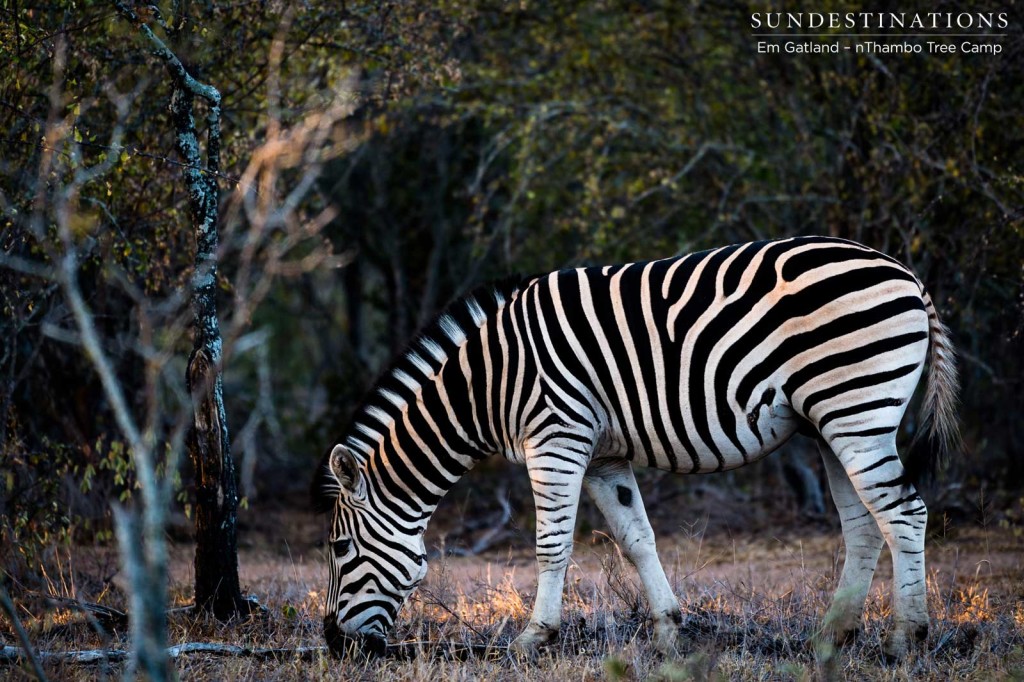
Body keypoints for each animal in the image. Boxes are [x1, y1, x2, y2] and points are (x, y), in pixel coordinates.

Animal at [309, 235, 958, 659]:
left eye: (339, 549)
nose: (335, 644)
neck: (488, 384)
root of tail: (904, 271)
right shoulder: (603, 457)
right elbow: (637, 539)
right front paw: (670, 633)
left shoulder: (557, 437)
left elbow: (550, 546)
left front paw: (532, 638)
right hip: (829, 420)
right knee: (865, 523)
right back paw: (832, 636)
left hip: (855, 405)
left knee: (904, 513)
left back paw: (907, 639)